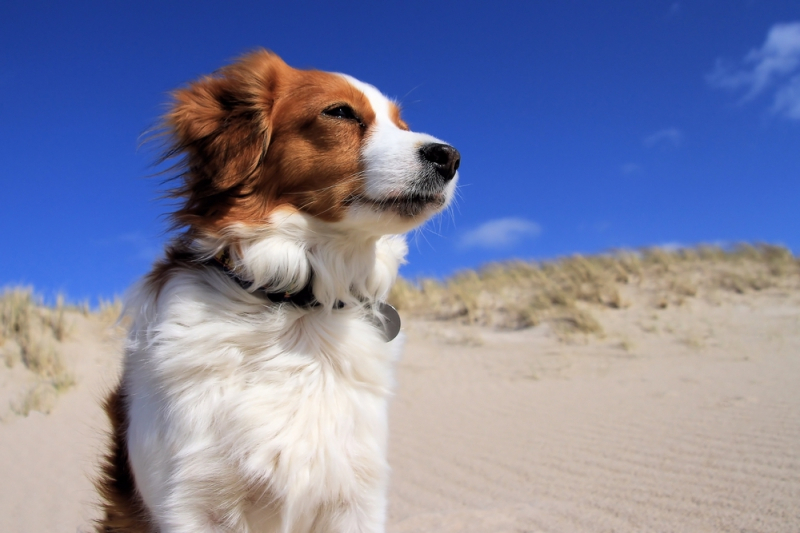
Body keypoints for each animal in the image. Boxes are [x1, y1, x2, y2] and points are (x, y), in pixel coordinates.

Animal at [98, 47, 462, 528]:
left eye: (401, 124)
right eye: (339, 112)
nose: (450, 157)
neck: (298, 307)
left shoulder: (356, 499)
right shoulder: (192, 502)